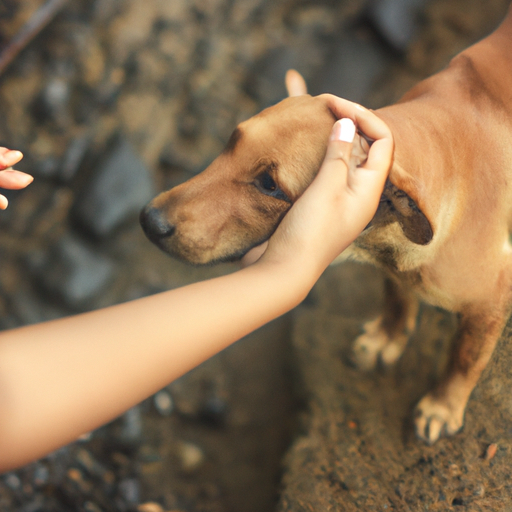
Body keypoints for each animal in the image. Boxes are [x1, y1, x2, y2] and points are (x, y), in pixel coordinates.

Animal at [140, 5, 512, 444]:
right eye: (232, 140)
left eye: (269, 185)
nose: (149, 221)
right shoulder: (395, 271)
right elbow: (397, 298)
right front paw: (388, 336)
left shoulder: (490, 304)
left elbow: (464, 358)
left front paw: (443, 405)